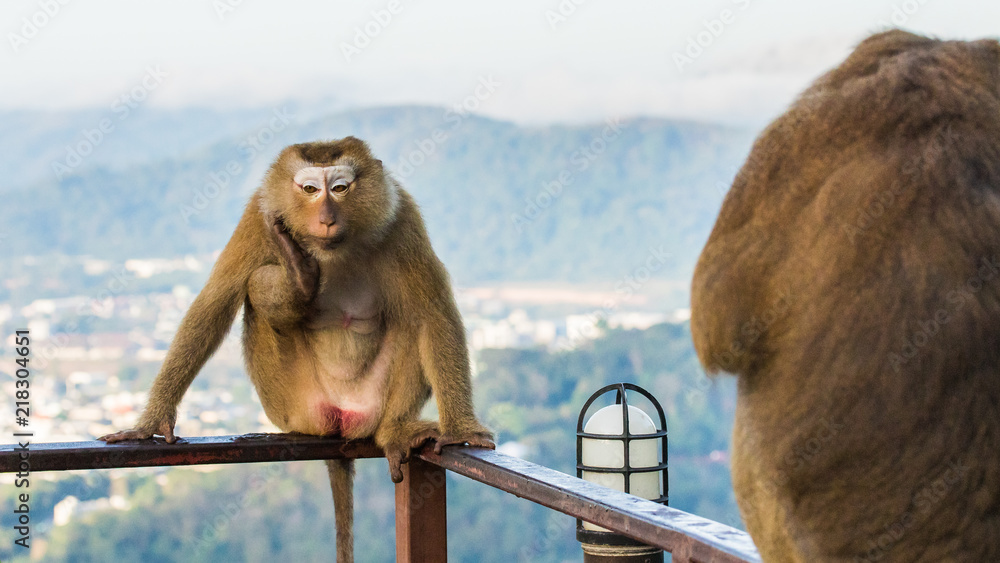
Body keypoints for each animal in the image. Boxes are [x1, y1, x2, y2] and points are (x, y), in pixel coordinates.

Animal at [100, 137, 495, 562]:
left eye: (339, 188)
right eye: (309, 189)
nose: (325, 217)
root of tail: (341, 422)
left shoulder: (402, 216)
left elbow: (433, 314)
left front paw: (462, 430)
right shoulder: (259, 216)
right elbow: (215, 302)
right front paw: (149, 424)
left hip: (368, 406)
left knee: (410, 321)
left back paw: (394, 430)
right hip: (296, 407)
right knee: (257, 288)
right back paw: (299, 278)